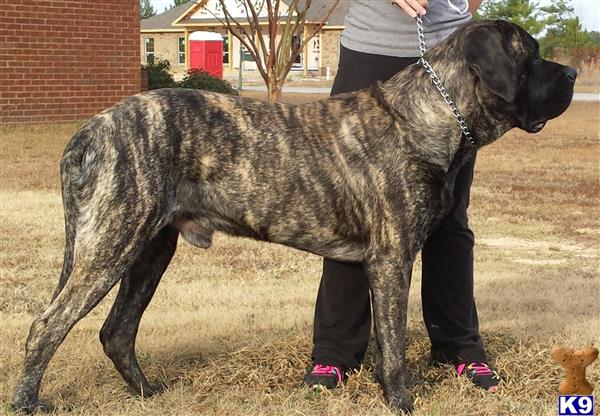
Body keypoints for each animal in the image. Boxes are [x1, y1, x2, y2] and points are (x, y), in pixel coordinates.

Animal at [11, 19, 576, 412]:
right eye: (531, 55)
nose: (572, 72)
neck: (429, 115)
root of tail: (89, 131)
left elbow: (384, 340)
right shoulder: (392, 259)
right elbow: (393, 344)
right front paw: (401, 402)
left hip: (150, 248)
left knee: (117, 330)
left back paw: (149, 394)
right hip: (112, 244)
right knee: (46, 325)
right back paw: (27, 403)